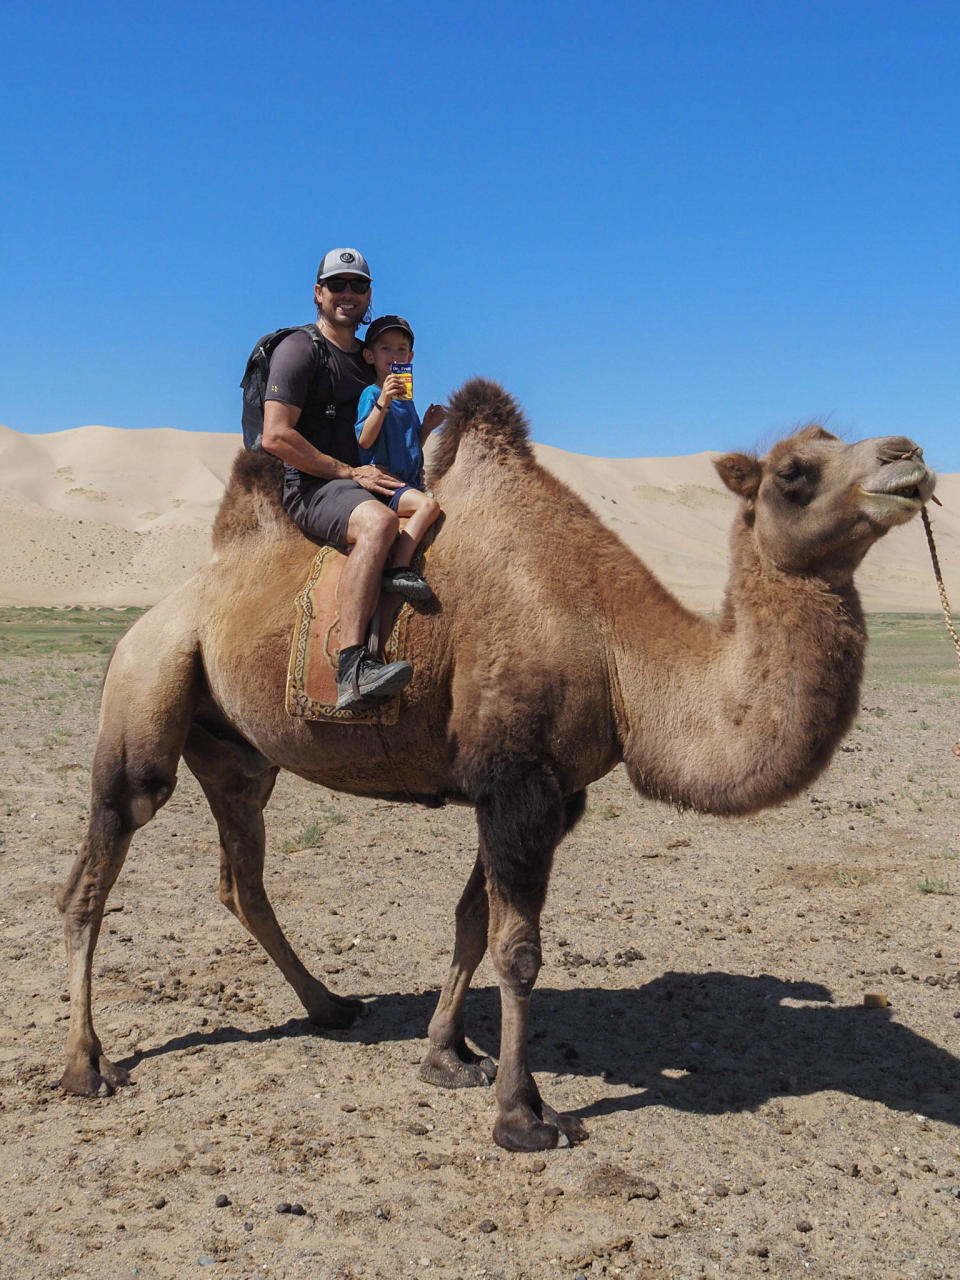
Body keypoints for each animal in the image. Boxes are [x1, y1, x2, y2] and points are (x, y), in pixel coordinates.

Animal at [56, 378, 936, 1152]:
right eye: (793, 473)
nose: (910, 455)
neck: (615, 649)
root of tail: (168, 607)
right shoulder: (516, 781)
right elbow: (519, 950)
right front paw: (524, 1115)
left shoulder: (544, 790)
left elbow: (472, 922)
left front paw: (447, 1056)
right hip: (146, 685)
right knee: (97, 870)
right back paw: (86, 1066)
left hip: (238, 754)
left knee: (242, 876)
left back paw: (331, 1006)